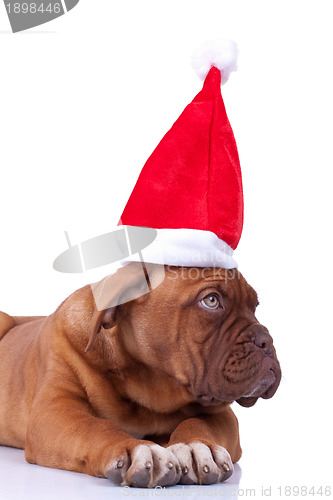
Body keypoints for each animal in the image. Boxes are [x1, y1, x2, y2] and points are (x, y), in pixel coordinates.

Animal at [0, 266, 280, 488]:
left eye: (254, 307)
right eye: (211, 300)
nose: (266, 340)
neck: (147, 384)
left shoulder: (222, 415)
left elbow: (199, 423)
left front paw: (195, 447)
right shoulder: (55, 411)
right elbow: (94, 426)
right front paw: (137, 448)